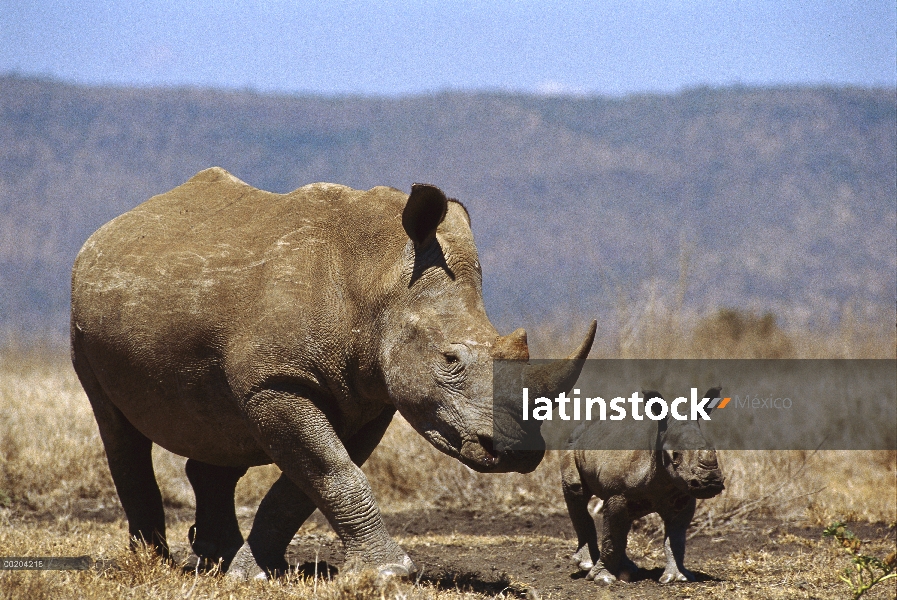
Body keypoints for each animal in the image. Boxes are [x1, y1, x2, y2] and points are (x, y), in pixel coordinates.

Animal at [72, 168, 596, 576]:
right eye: (450, 361)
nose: (517, 452)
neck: (379, 276)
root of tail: (105, 230)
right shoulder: (277, 381)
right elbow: (333, 471)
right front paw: (390, 573)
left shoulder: (370, 397)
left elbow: (311, 483)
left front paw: (253, 572)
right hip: (83, 316)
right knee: (117, 428)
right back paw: (152, 563)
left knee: (216, 424)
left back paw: (215, 560)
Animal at [564, 386, 724, 584]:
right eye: (675, 455)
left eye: (714, 450)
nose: (710, 482)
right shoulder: (617, 492)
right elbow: (612, 537)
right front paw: (602, 579)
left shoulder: (682, 495)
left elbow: (676, 538)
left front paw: (677, 577)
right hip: (571, 444)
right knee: (577, 493)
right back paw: (588, 565)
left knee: (625, 519)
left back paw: (626, 569)